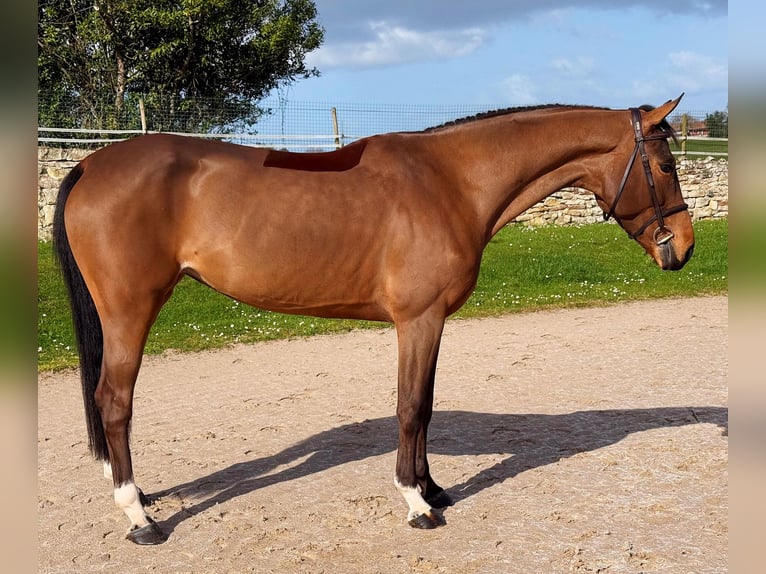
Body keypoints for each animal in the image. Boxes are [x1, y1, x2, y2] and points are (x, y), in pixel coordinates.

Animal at [53, 95, 694, 545]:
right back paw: (139, 516)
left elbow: (426, 404)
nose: (684, 249)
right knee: (114, 401)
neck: (451, 181)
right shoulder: (418, 319)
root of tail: (89, 164)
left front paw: (435, 488)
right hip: (130, 310)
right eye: (665, 164)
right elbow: (410, 408)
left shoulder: (431, 323)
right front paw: (416, 504)